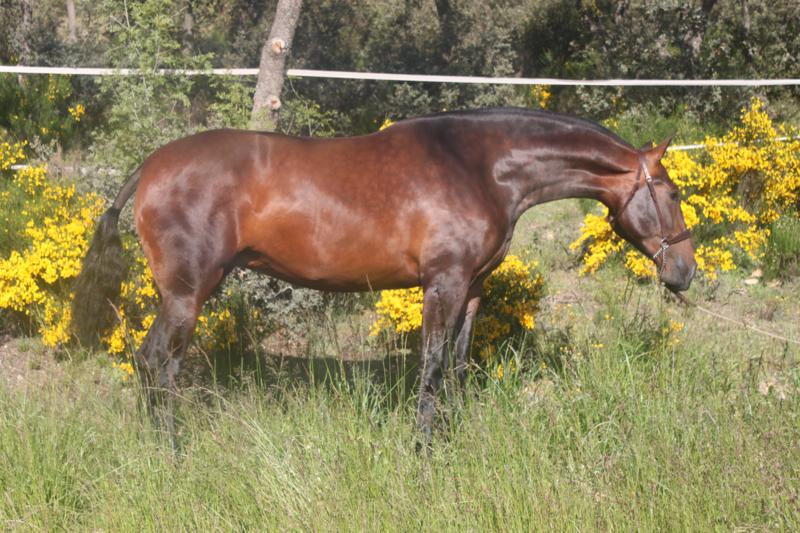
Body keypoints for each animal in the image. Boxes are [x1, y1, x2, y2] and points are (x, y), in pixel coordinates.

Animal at [71, 108, 696, 449]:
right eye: (671, 193)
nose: (685, 272)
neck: (478, 165)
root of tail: (151, 167)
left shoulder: (472, 288)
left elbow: (458, 365)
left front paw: (450, 436)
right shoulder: (444, 283)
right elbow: (433, 363)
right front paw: (424, 447)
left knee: (153, 364)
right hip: (187, 293)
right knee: (159, 363)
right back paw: (171, 451)